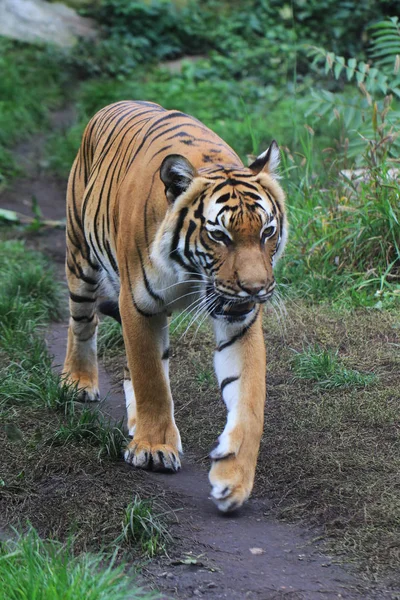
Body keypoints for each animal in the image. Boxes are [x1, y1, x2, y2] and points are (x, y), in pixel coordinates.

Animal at [62, 101, 288, 512]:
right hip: (79, 256)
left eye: (267, 231)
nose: (256, 289)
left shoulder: (239, 319)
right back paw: (78, 382)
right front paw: (153, 449)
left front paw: (234, 479)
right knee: (83, 322)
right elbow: (151, 378)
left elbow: (249, 401)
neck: (193, 273)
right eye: (220, 235)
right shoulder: (138, 306)